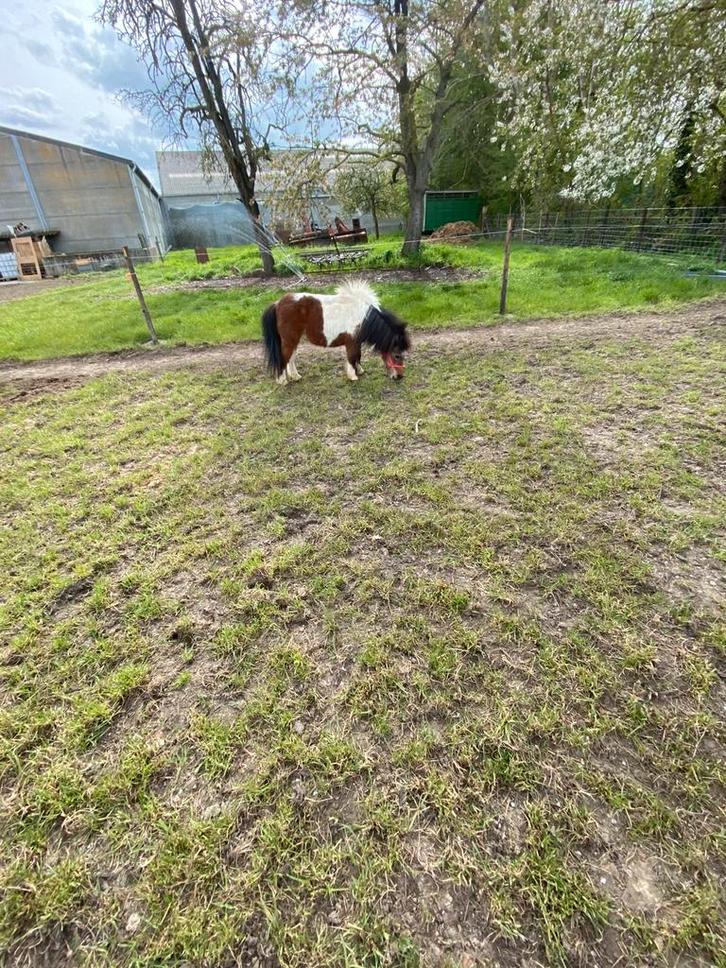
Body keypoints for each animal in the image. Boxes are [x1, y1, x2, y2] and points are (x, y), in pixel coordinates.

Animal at [261, 280, 410, 385]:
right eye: (397, 355)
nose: (399, 376)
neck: (364, 317)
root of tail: (277, 303)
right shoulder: (351, 342)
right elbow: (352, 357)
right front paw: (353, 376)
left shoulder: (356, 341)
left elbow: (358, 356)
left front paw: (360, 371)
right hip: (289, 339)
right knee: (284, 357)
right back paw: (282, 380)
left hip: (294, 338)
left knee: (291, 357)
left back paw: (295, 376)